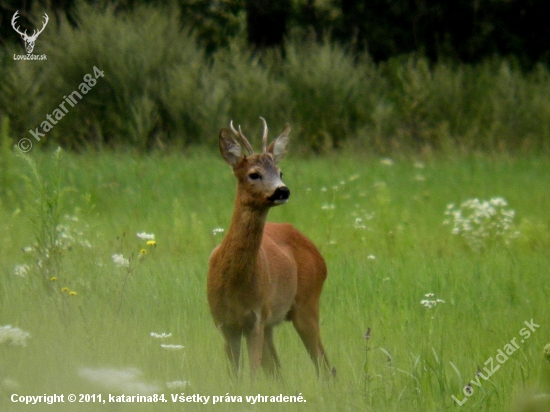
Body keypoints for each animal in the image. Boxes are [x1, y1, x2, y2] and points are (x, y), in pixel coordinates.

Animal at [207, 117, 330, 378]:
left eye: (280, 171)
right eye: (254, 174)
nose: (282, 190)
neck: (234, 284)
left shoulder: (255, 319)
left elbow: (252, 377)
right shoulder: (224, 323)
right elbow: (235, 378)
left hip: (307, 304)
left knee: (324, 365)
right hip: (272, 322)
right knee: (278, 371)